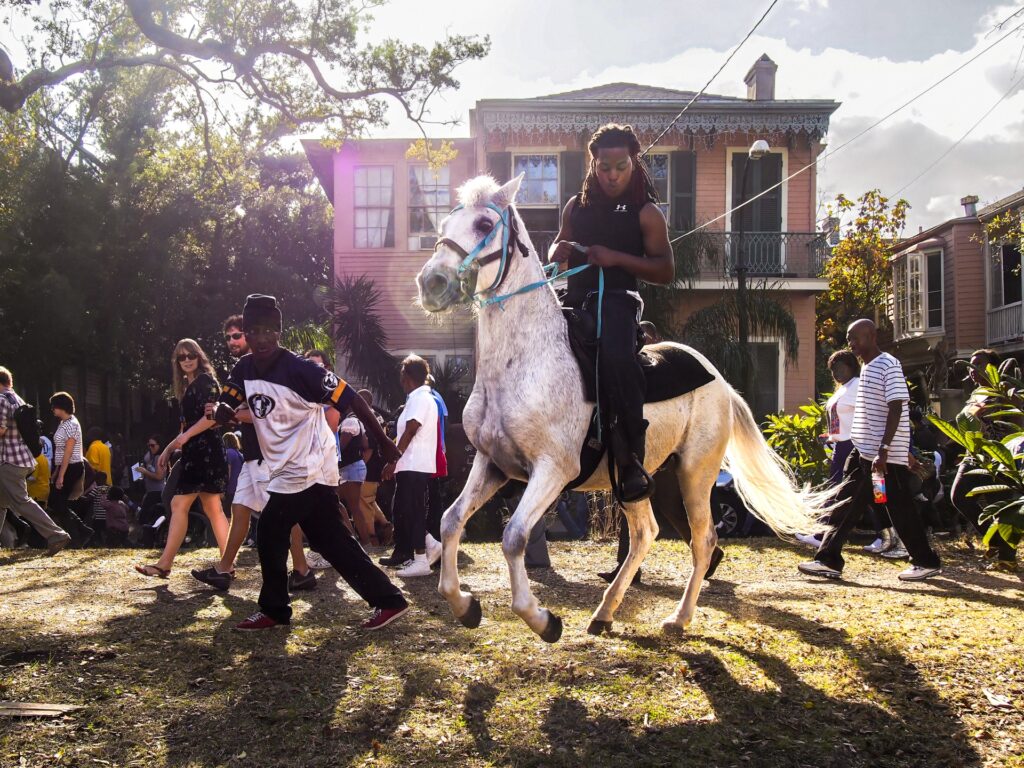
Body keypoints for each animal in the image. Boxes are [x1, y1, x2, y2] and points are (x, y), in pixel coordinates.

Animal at [415, 174, 831, 643]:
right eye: (444, 223)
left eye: (485, 223)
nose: (431, 284)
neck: (525, 360)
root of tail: (721, 381)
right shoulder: (493, 464)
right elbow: (450, 521)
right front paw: (464, 604)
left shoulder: (552, 470)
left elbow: (515, 537)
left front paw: (542, 620)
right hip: (643, 478)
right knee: (646, 533)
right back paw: (605, 612)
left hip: (695, 474)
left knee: (702, 541)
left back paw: (678, 618)